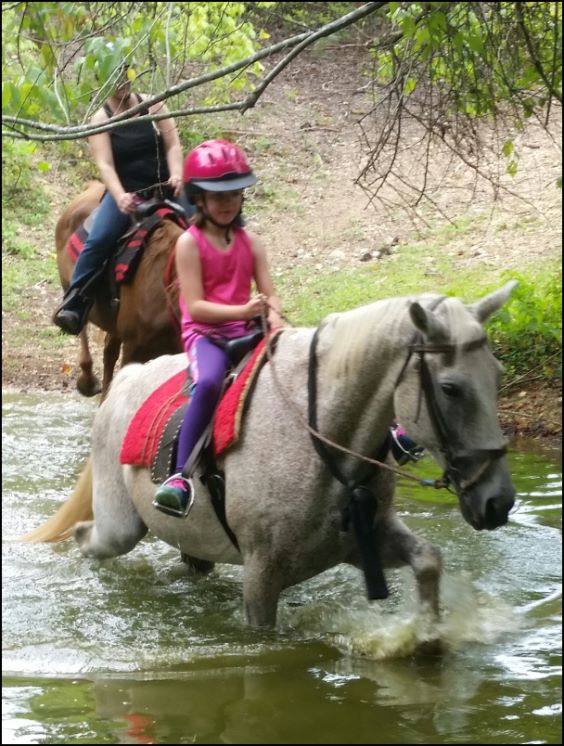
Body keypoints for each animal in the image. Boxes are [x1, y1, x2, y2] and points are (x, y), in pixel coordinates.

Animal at [26, 282, 516, 624]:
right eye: (450, 388)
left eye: (497, 374)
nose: (498, 501)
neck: (321, 433)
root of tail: (125, 382)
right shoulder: (262, 578)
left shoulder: (366, 540)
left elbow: (429, 562)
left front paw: (427, 635)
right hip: (120, 528)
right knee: (86, 538)